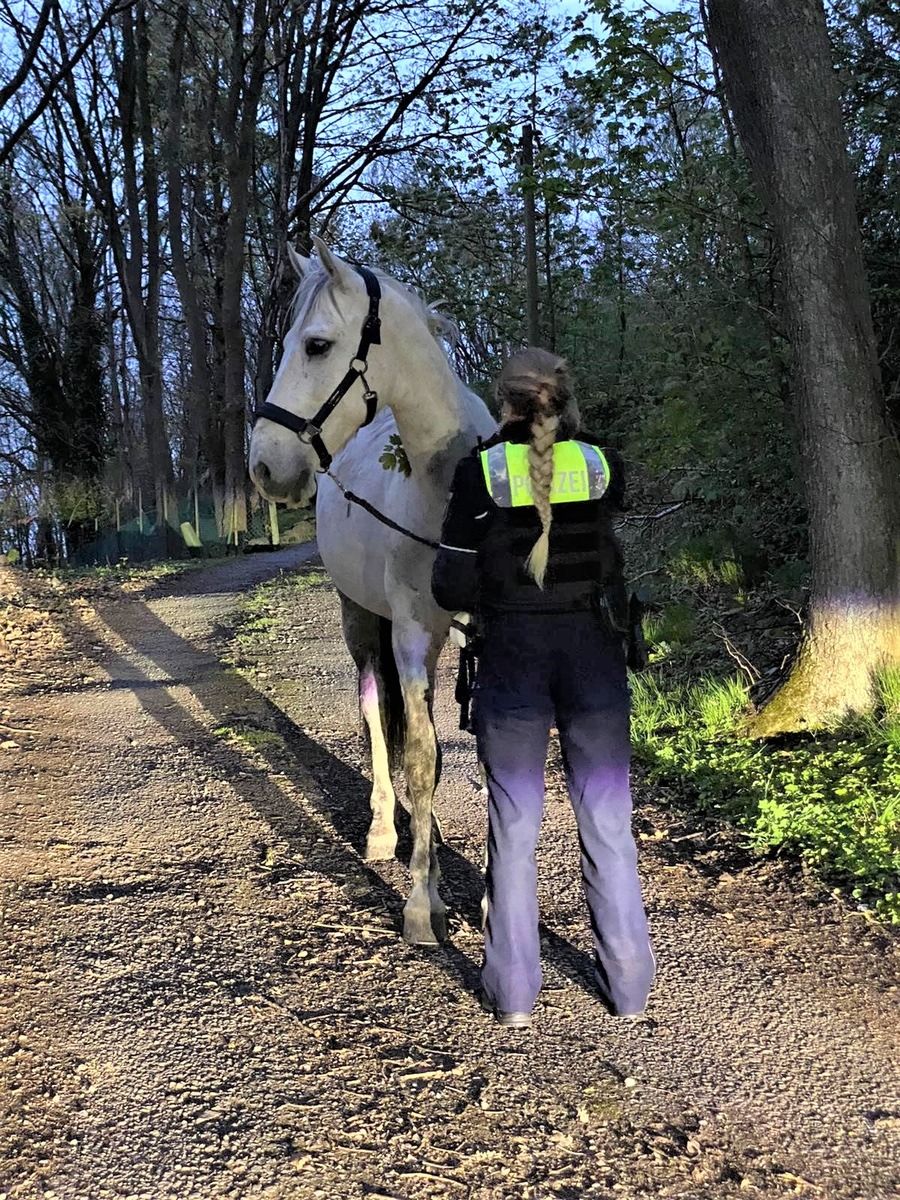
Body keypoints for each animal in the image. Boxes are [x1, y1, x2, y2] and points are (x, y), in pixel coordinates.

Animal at [250, 236, 496, 945]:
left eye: (316, 345)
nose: (265, 465)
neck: (451, 492)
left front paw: (495, 903)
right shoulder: (412, 635)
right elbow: (419, 753)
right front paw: (422, 902)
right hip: (360, 618)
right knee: (375, 712)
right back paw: (390, 829)